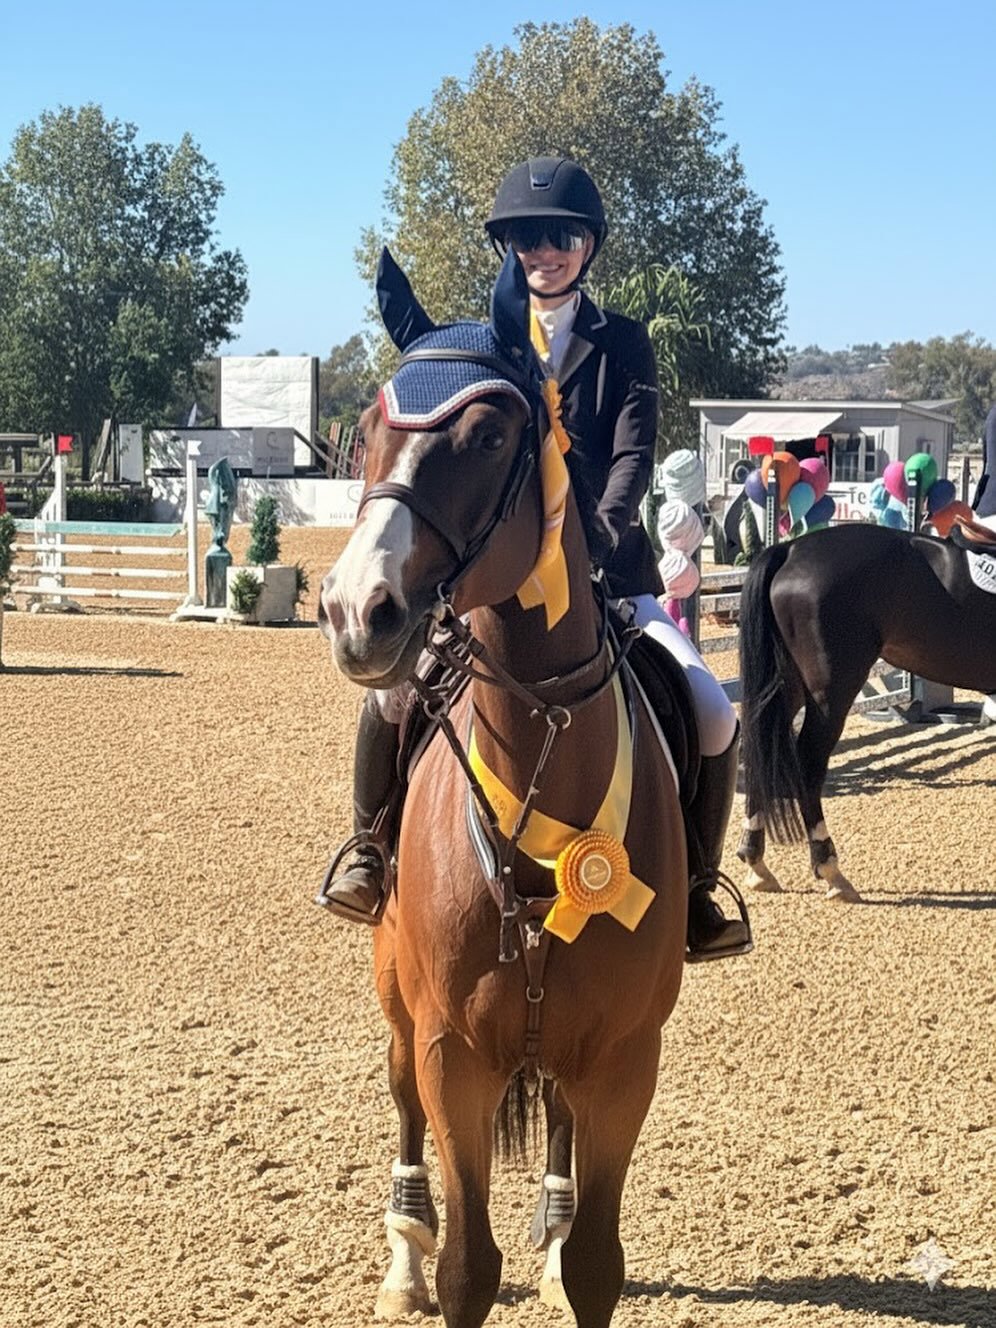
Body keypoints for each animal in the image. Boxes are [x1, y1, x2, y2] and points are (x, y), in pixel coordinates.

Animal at [318, 248, 690, 1327]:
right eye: (366, 433)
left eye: (487, 435)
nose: (356, 611)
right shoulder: (455, 1053)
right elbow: (466, 1269)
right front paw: (432, 1265)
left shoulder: (624, 1058)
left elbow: (599, 1264)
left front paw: (569, 1251)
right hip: (396, 996)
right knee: (400, 1105)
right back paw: (400, 1255)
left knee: (559, 1128)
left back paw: (551, 1226)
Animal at [736, 520, 996, 901]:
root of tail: (791, 550)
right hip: (831, 693)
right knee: (808, 765)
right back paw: (831, 870)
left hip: (787, 685)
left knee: (756, 750)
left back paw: (757, 863)